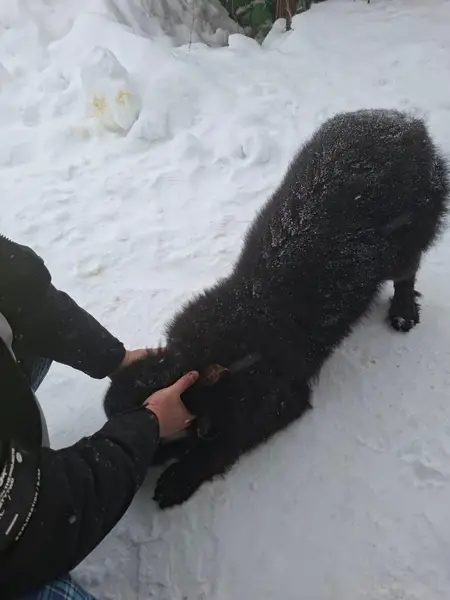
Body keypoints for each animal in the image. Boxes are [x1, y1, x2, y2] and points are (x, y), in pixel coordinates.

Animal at [105, 109, 449, 509]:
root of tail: (405, 122)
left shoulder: (281, 397)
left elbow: (229, 441)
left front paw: (179, 479)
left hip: (408, 236)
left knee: (407, 273)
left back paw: (404, 311)